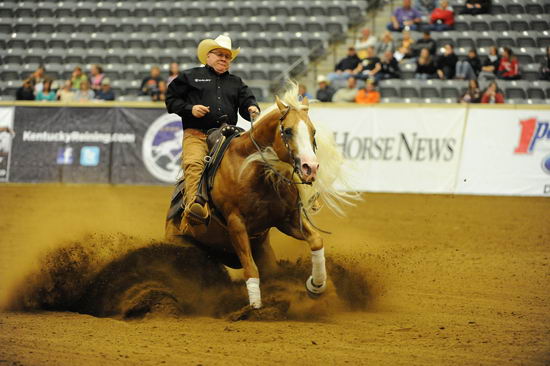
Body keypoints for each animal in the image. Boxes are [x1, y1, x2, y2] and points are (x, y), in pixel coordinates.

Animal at [166, 82, 356, 308]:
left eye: (313, 131)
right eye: (288, 131)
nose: (310, 167)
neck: (251, 171)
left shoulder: (287, 220)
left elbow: (317, 241)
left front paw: (316, 285)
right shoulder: (236, 223)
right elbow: (250, 269)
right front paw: (255, 308)